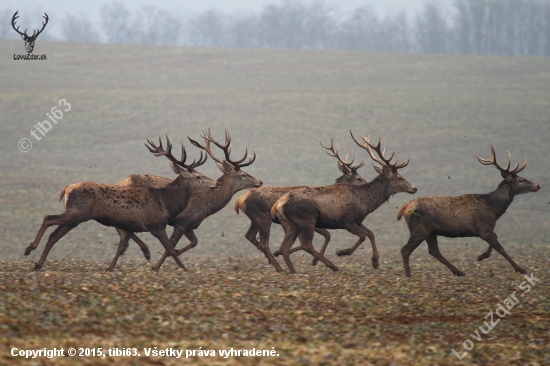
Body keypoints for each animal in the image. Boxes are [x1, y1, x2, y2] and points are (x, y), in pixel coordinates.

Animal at [24, 136, 220, 270]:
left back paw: (37, 264)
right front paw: (184, 270)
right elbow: (171, 249)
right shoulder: (156, 224)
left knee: (54, 235)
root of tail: (66, 189)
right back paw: (29, 248)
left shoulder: (130, 226)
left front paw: (110, 268)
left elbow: (120, 247)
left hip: (75, 218)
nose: (216, 184)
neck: (167, 202)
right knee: (48, 218)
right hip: (76, 213)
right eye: (198, 177)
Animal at [111, 127, 264, 270]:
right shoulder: (182, 221)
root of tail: (118, 183)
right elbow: (171, 246)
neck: (206, 206)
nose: (260, 182)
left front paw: (173, 255)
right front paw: (156, 267)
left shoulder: (189, 225)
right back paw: (144, 251)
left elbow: (193, 242)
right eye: (243, 174)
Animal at [238, 137, 370, 272]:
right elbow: (324, 236)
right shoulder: (312, 222)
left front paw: (313, 260)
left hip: (255, 219)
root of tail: (240, 200)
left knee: (249, 235)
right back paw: (279, 266)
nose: (367, 184)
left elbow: (323, 236)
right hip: (263, 217)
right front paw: (314, 260)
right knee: (263, 242)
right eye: (359, 178)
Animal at [272, 132, 418, 272]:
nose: (414, 188)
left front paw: (375, 262)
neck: (366, 203)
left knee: (286, 247)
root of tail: (278, 205)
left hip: (291, 225)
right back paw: (332, 265)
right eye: (399, 177)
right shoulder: (346, 221)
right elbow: (362, 237)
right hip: (307, 220)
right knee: (306, 244)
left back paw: (291, 270)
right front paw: (342, 252)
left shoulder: (358, 221)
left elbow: (371, 234)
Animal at [398, 146, 540, 278]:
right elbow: (500, 248)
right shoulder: (483, 227)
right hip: (420, 229)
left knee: (433, 251)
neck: (494, 209)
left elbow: (495, 240)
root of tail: (404, 208)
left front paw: (482, 256)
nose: (537, 186)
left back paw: (458, 271)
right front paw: (520, 269)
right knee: (405, 250)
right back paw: (408, 275)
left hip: (431, 231)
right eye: (521, 180)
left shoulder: (486, 228)